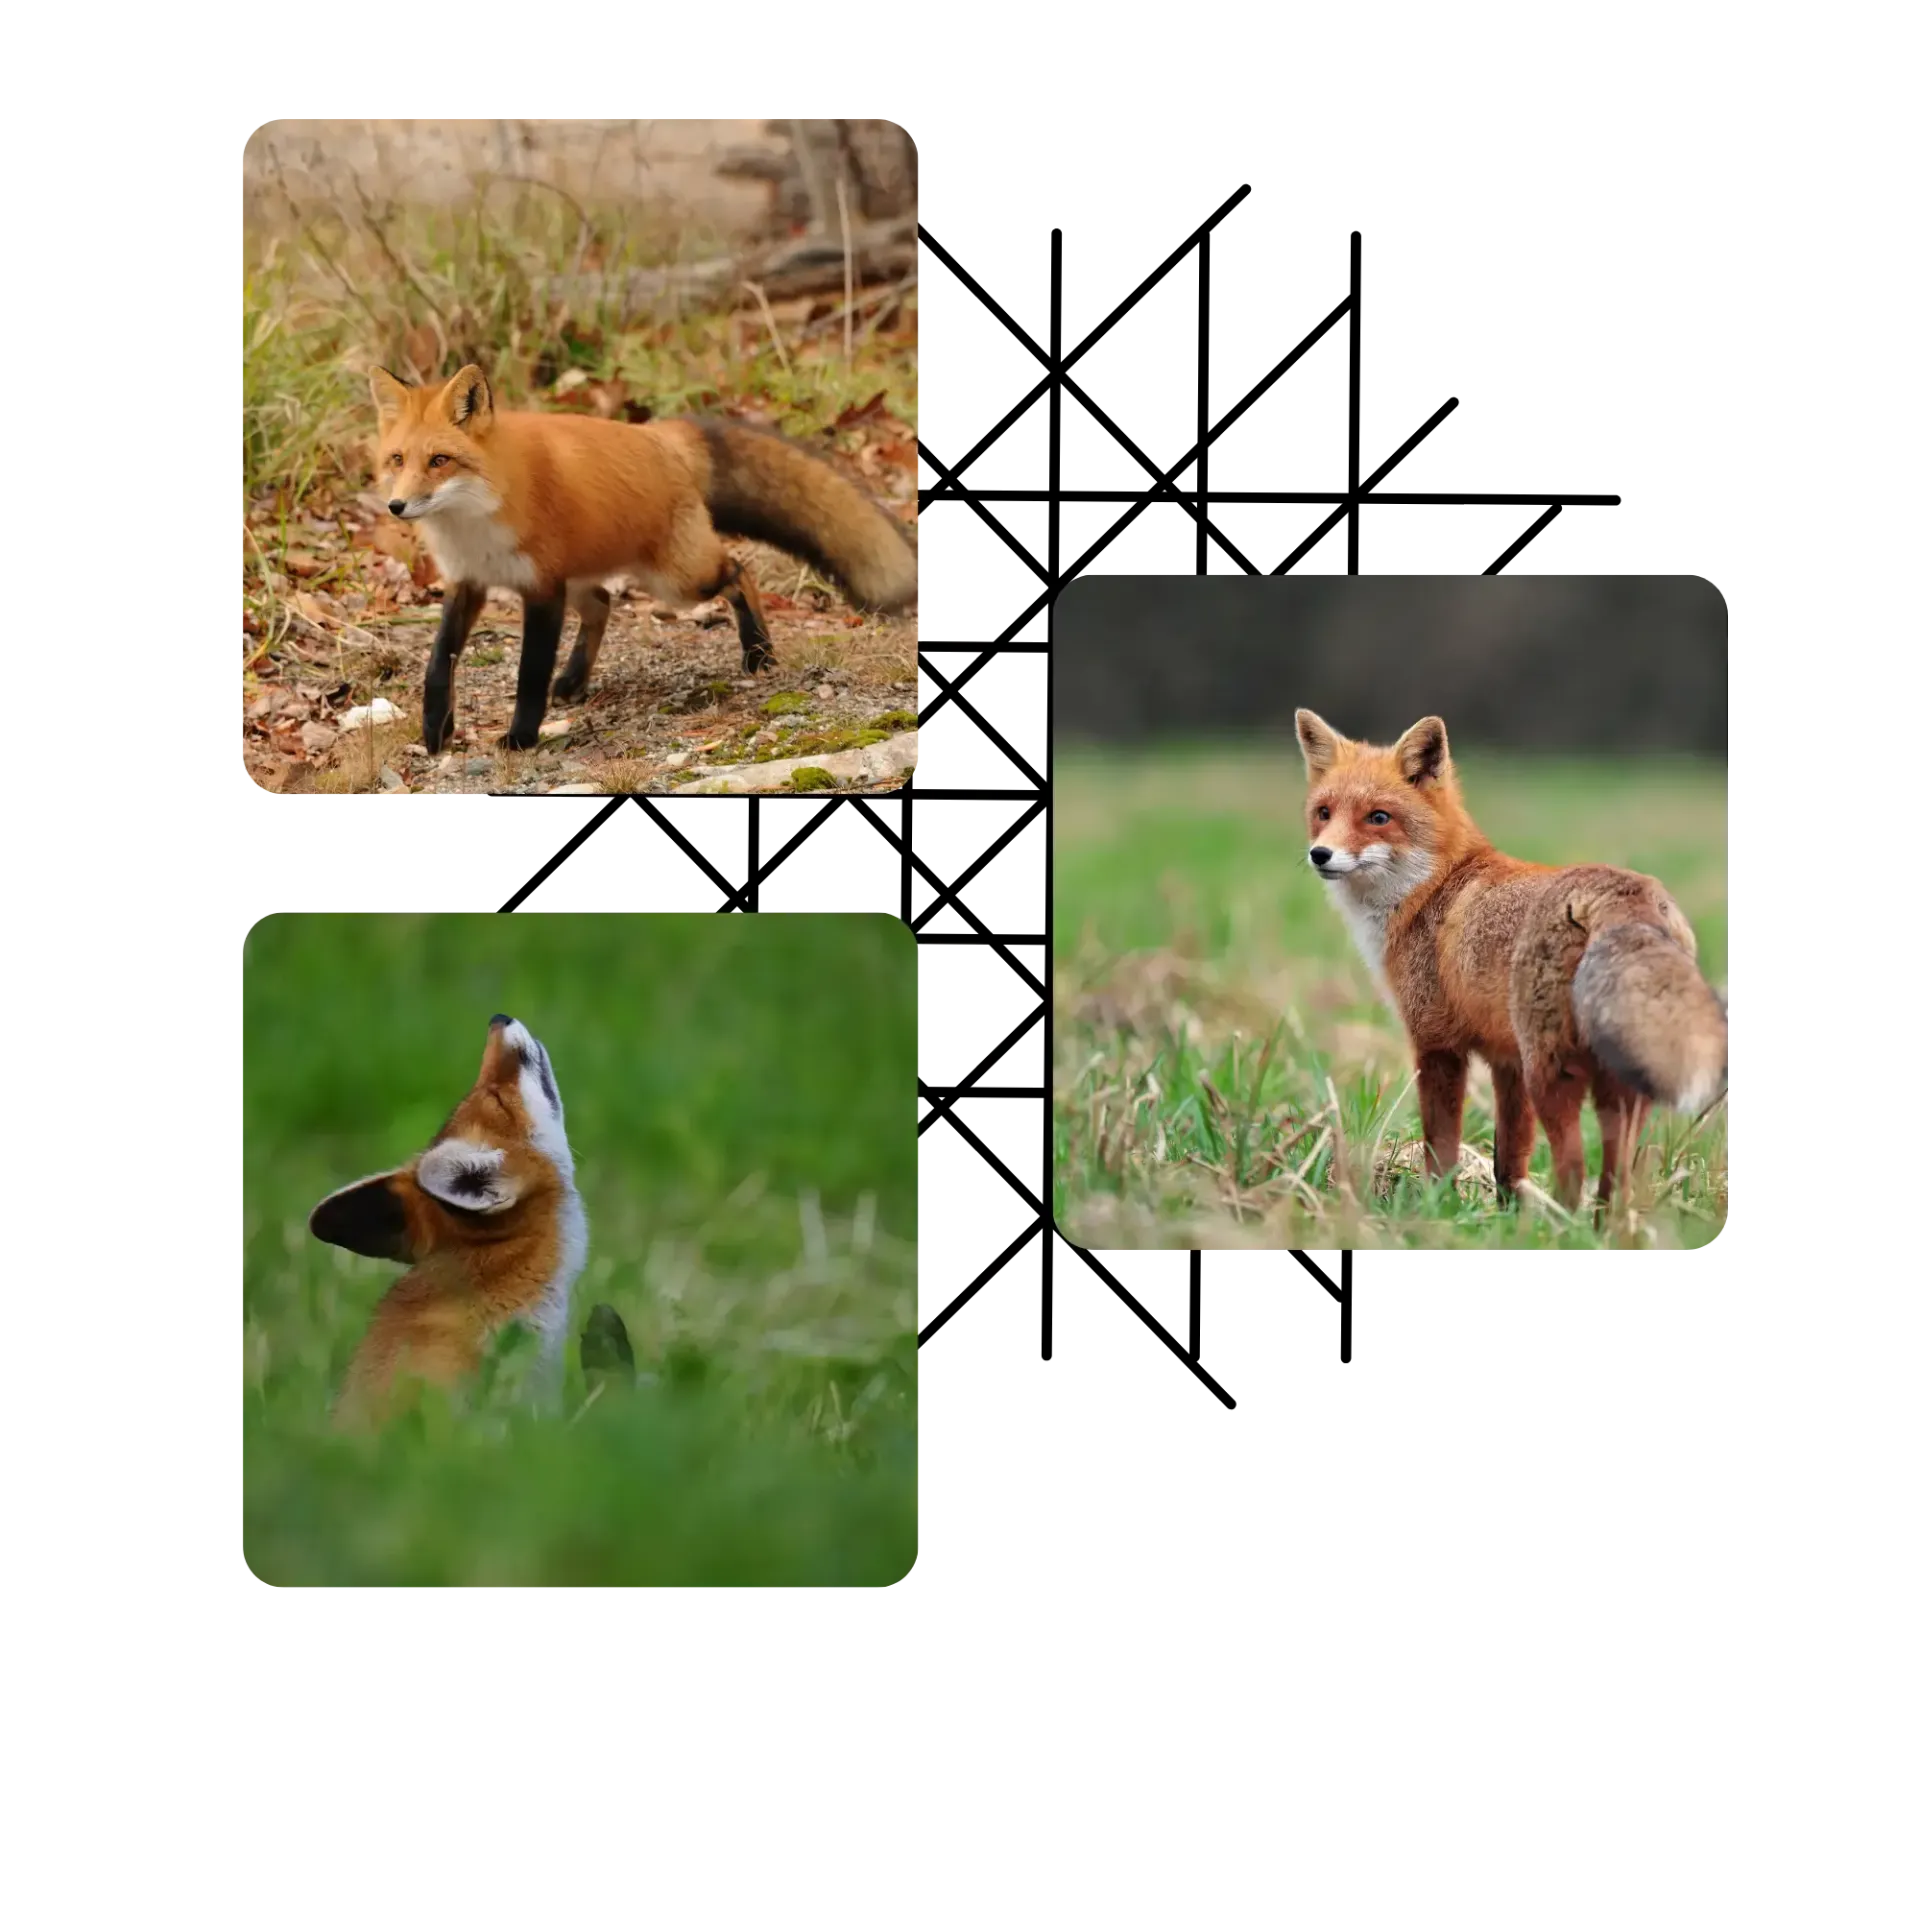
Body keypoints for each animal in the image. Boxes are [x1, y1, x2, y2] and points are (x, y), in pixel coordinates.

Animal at [369, 364, 919, 752]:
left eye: (439, 461)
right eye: (397, 460)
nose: (396, 506)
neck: (474, 522)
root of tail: (658, 434)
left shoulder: (541, 589)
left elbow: (529, 674)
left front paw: (521, 738)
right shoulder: (468, 581)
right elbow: (438, 662)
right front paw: (436, 731)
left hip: (677, 581)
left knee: (739, 571)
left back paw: (758, 652)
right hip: (589, 576)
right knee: (604, 604)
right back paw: (573, 680)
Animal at [1295, 709, 1728, 1218]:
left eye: (1378, 818)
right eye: (1324, 813)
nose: (1320, 854)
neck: (1432, 889)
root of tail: (1626, 892)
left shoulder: (1437, 1045)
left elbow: (1441, 1145)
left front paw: (1436, 1209)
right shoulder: (1508, 1062)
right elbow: (1510, 1158)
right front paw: (1505, 1215)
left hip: (1553, 1075)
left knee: (1573, 1167)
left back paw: (1566, 1226)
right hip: (1614, 1085)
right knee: (1616, 1177)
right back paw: (1604, 1227)